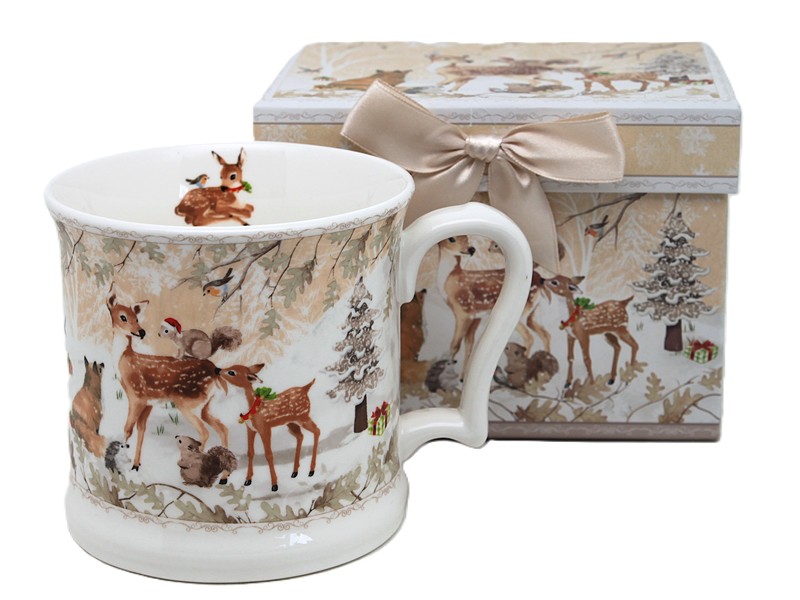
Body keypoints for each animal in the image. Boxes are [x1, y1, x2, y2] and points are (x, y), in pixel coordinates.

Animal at [106, 291, 230, 473]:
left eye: (136, 318)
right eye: (123, 317)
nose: (141, 332)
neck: (124, 362)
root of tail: (215, 371)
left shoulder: (136, 395)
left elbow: (127, 429)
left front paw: (123, 460)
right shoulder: (148, 402)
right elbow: (141, 430)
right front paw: (136, 464)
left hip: (186, 401)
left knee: (204, 432)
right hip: (205, 405)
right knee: (223, 429)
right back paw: (224, 473)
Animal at [217, 364, 319, 493]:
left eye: (231, 372)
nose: (218, 370)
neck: (252, 409)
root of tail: (305, 388)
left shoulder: (265, 427)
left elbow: (269, 454)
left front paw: (274, 485)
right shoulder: (250, 429)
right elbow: (250, 452)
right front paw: (248, 480)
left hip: (303, 416)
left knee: (317, 430)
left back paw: (311, 470)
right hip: (291, 423)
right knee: (300, 436)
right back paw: (295, 472)